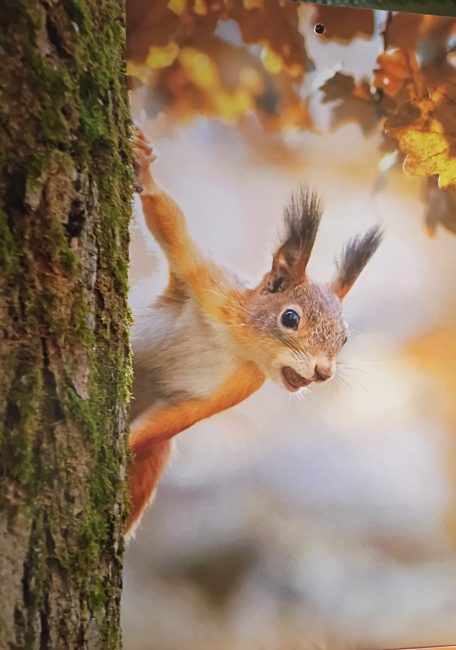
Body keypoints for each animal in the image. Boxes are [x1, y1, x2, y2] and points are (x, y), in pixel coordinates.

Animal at [127, 128, 383, 535]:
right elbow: (169, 224)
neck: (236, 344)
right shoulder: (211, 285)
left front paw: (122, 444)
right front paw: (146, 170)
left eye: (344, 338)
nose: (324, 373)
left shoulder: (233, 389)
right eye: (290, 318)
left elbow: (169, 421)